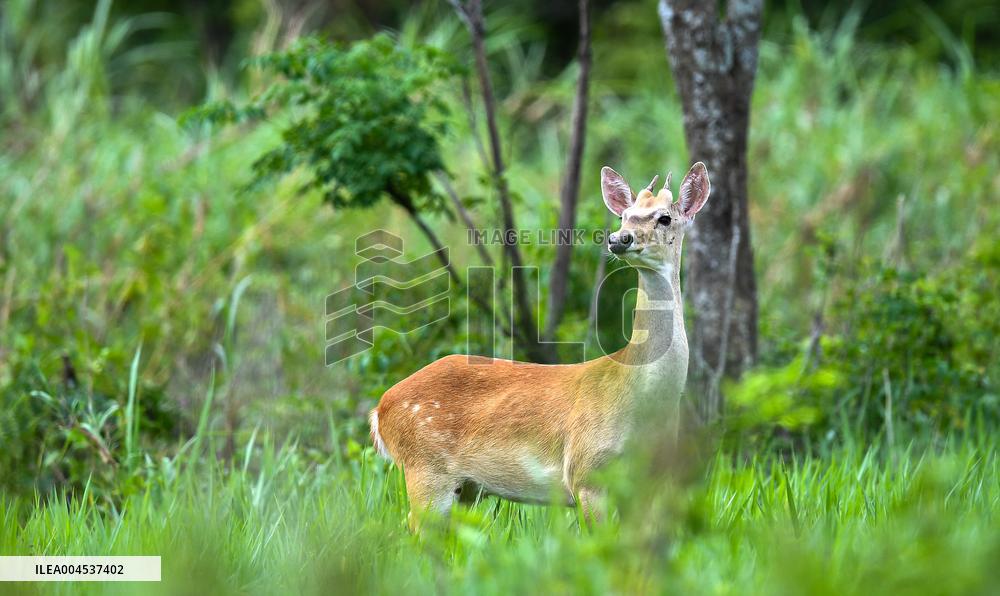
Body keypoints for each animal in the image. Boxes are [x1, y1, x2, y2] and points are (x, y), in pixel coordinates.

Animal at [369, 162, 711, 529]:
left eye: (664, 218)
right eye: (624, 216)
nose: (619, 238)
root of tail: (380, 409)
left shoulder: (651, 482)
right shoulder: (585, 471)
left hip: (466, 488)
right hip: (425, 469)